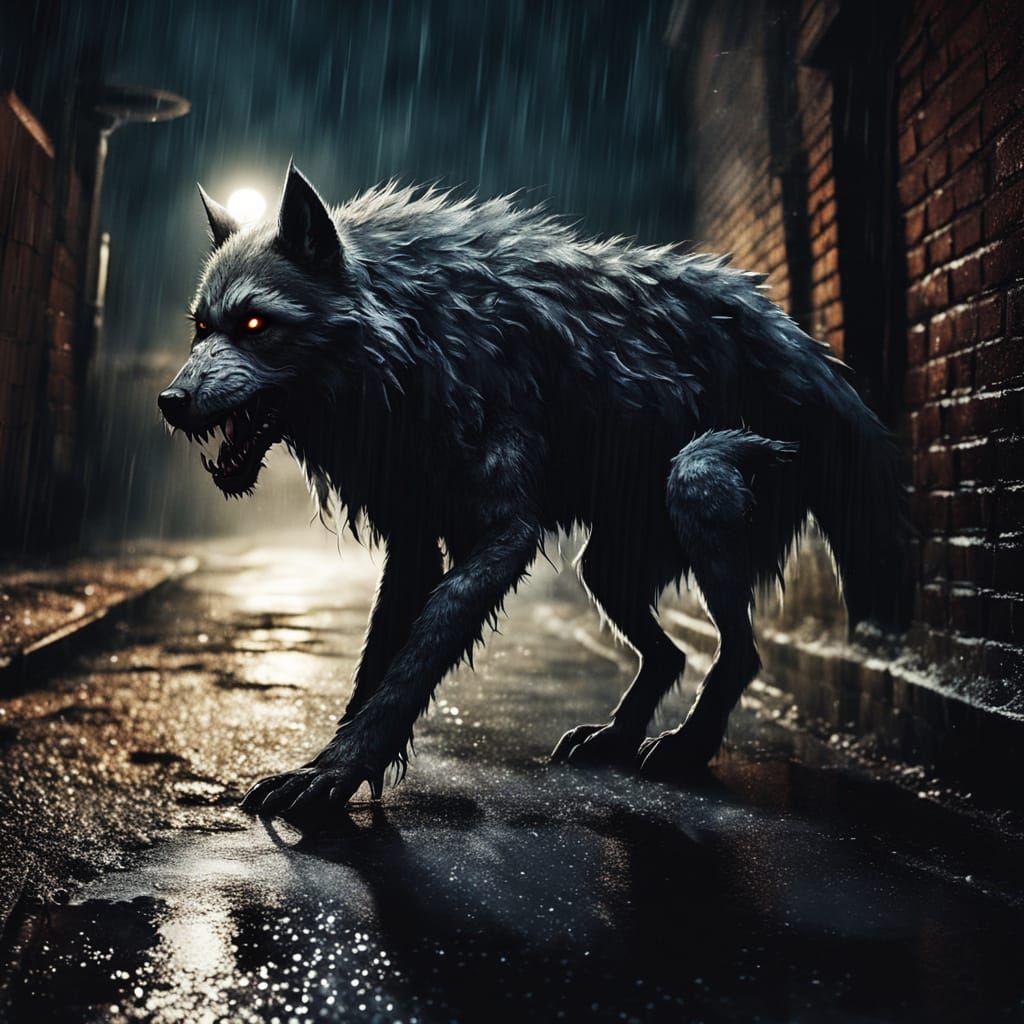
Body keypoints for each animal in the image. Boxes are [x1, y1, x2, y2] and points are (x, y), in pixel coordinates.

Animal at [158, 162, 907, 816]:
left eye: (256, 324)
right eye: (201, 327)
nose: (170, 401)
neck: (414, 333)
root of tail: (817, 361)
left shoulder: (502, 536)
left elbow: (413, 662)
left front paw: (338, 773)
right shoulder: (413, 538)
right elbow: (378, 663)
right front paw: (329, 765)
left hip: (699, 482)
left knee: (739, 648)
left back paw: (685, 747)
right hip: (607, 565)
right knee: (670, 654)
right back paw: (615, 737)